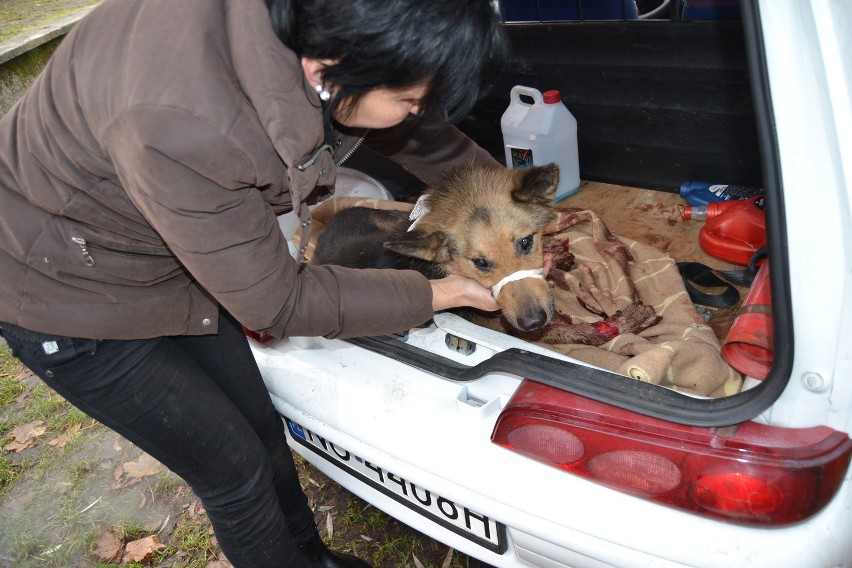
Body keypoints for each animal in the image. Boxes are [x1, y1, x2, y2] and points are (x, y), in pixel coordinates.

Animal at [312, 162, 660, 344]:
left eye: (525, 243)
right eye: (480, 262)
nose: (532, 321)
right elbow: (576, 332)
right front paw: (626, 322)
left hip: (396, 220)